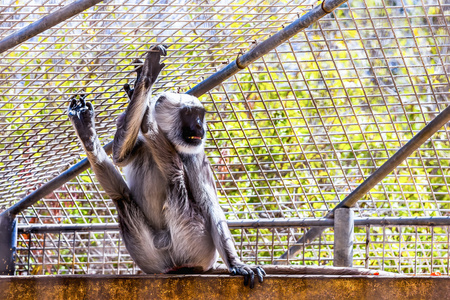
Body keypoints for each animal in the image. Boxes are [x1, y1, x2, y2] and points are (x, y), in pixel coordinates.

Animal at [66, 45, 264, 288]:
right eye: (190, 114)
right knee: (121, 196)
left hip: (196, 244)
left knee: (175, 175)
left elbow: (209, 205)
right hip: (148, 253)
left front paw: (237, 263)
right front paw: (144, 84)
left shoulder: (196, 154)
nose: (200, 127)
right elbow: (120, 155)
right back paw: (90, 131)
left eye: (200, 116)